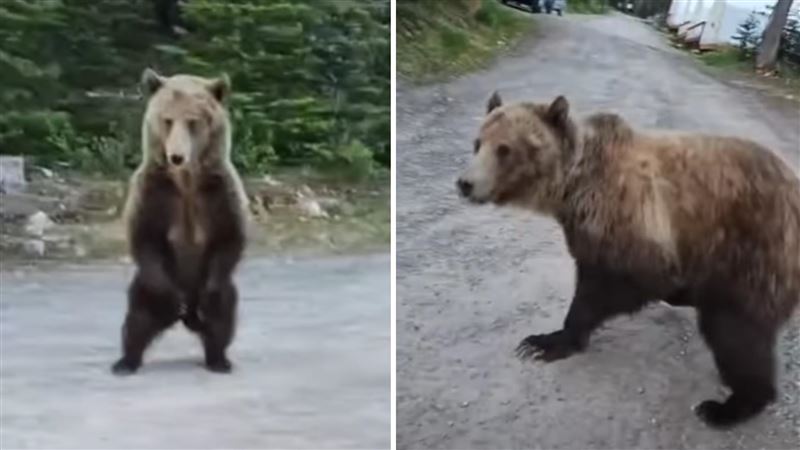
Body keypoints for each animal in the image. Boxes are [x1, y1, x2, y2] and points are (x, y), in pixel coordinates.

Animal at [111, 68, 249, 375]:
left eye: (193, 121)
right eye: (167, 120)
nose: (176, 156)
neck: (186, 182)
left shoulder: (219, 192)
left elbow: (229, 237)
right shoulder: (154, 192)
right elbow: (145, 237)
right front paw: (169, 301)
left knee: (223, 315)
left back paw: (218, 358)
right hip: (146, 286)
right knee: (138, 317)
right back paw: (126, 361)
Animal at [456, 92, 800, 428]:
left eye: (505, 149)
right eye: (478, 142)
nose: (465, 183)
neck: (573, 187)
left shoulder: (630, 219)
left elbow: (614, 285)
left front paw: (545, 341)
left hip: (752, 248)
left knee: (735, 330)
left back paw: (727, 407)